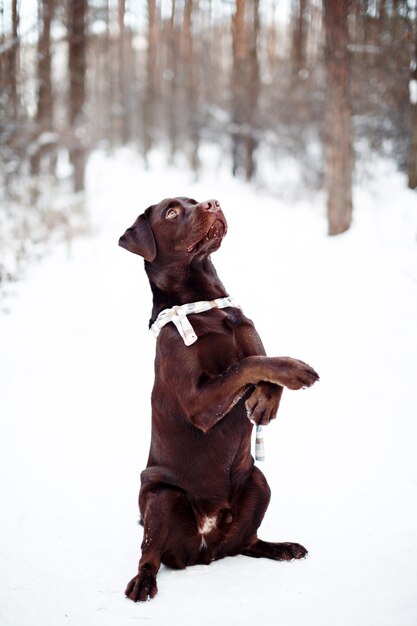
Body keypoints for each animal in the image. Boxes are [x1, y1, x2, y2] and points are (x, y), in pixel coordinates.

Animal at [118, 199, 320, 600]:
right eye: (171, 212)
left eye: (192, 200)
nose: (212, 202)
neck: (205, 303)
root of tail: (205, 551)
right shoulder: (199, 401)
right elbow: (246, 365)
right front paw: (294, 371)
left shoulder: (249, 335)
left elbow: (256, 362)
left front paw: (265, 402)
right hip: (161, 496)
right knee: (150, 555)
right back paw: (143, 583)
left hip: (258, 481)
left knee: (247, 543)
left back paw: (282, 548)